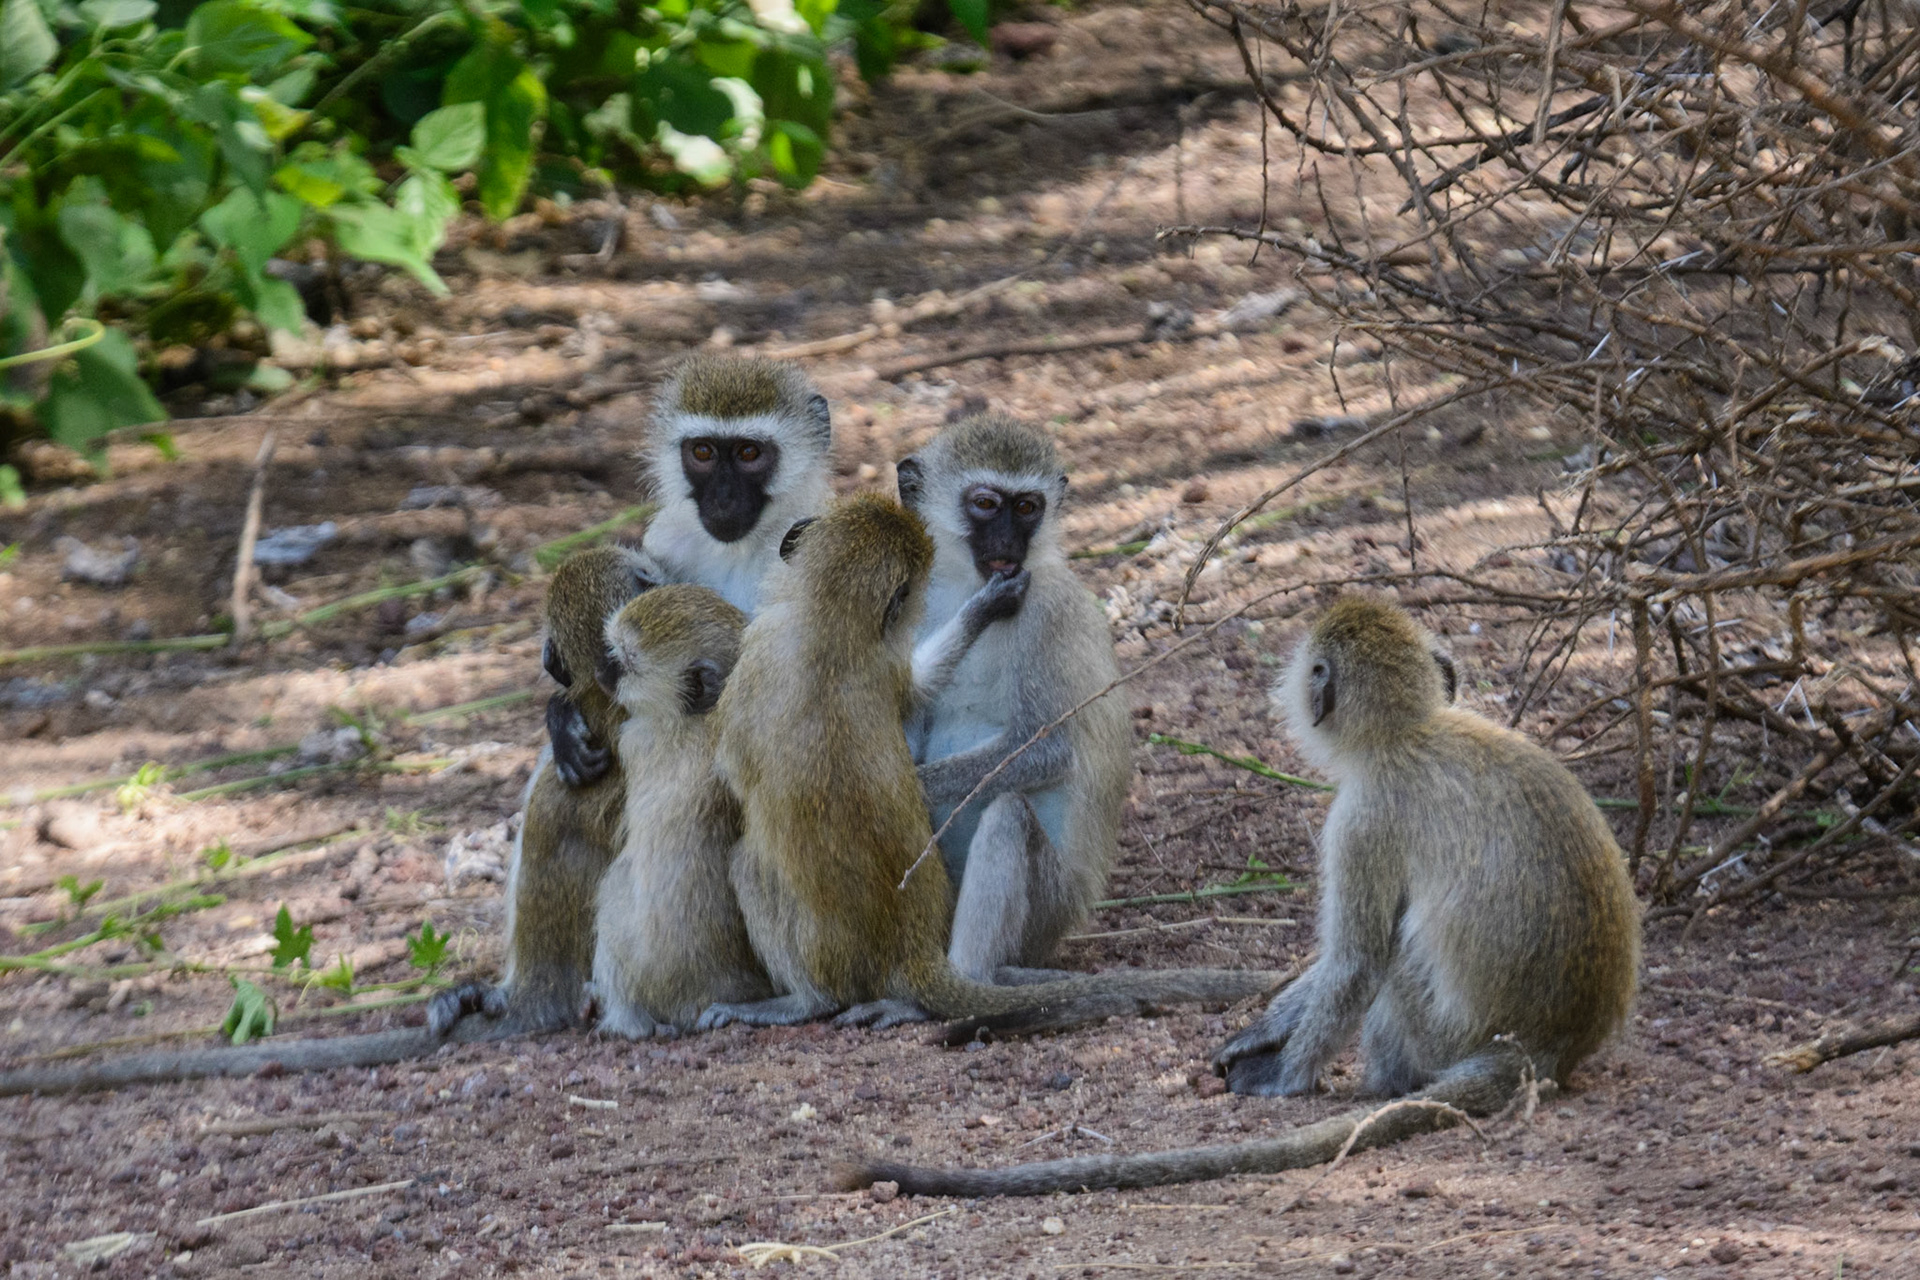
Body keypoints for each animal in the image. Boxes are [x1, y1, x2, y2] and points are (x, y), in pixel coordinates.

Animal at [584, 585, 774, 1038]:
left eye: (624, 659)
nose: (599, 668)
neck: (697, 718)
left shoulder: (637, 737)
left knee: (615, 892)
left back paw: (628, 1022)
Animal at [694, 493, 1279, 1033]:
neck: (827, 623)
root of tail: (912, 950)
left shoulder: (756, 659)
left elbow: (731, 774)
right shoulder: (878, 665)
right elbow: (919, 688)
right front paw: (983, 608)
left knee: (749, 863)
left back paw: (814, 1001)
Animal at [835, 594, 1639, 1196]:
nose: (1295, 693)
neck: (1413, 732)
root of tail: (1547, 1046)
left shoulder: (1359, 818)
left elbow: (1353, 961)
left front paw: (1284, 1078)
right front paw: (1261, 1029)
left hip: (1443, 1030)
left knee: (1394, 953)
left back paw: (1382, 1083)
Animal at [895, 415, 1131, 983]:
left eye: (1026, 507)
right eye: (986, 504)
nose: (1007, 540)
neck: (967, 585)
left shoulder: (1048, 612)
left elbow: (1052, 748)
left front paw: (911, 785)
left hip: (1048, 912)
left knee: (1008, 817)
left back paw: (965, 981)